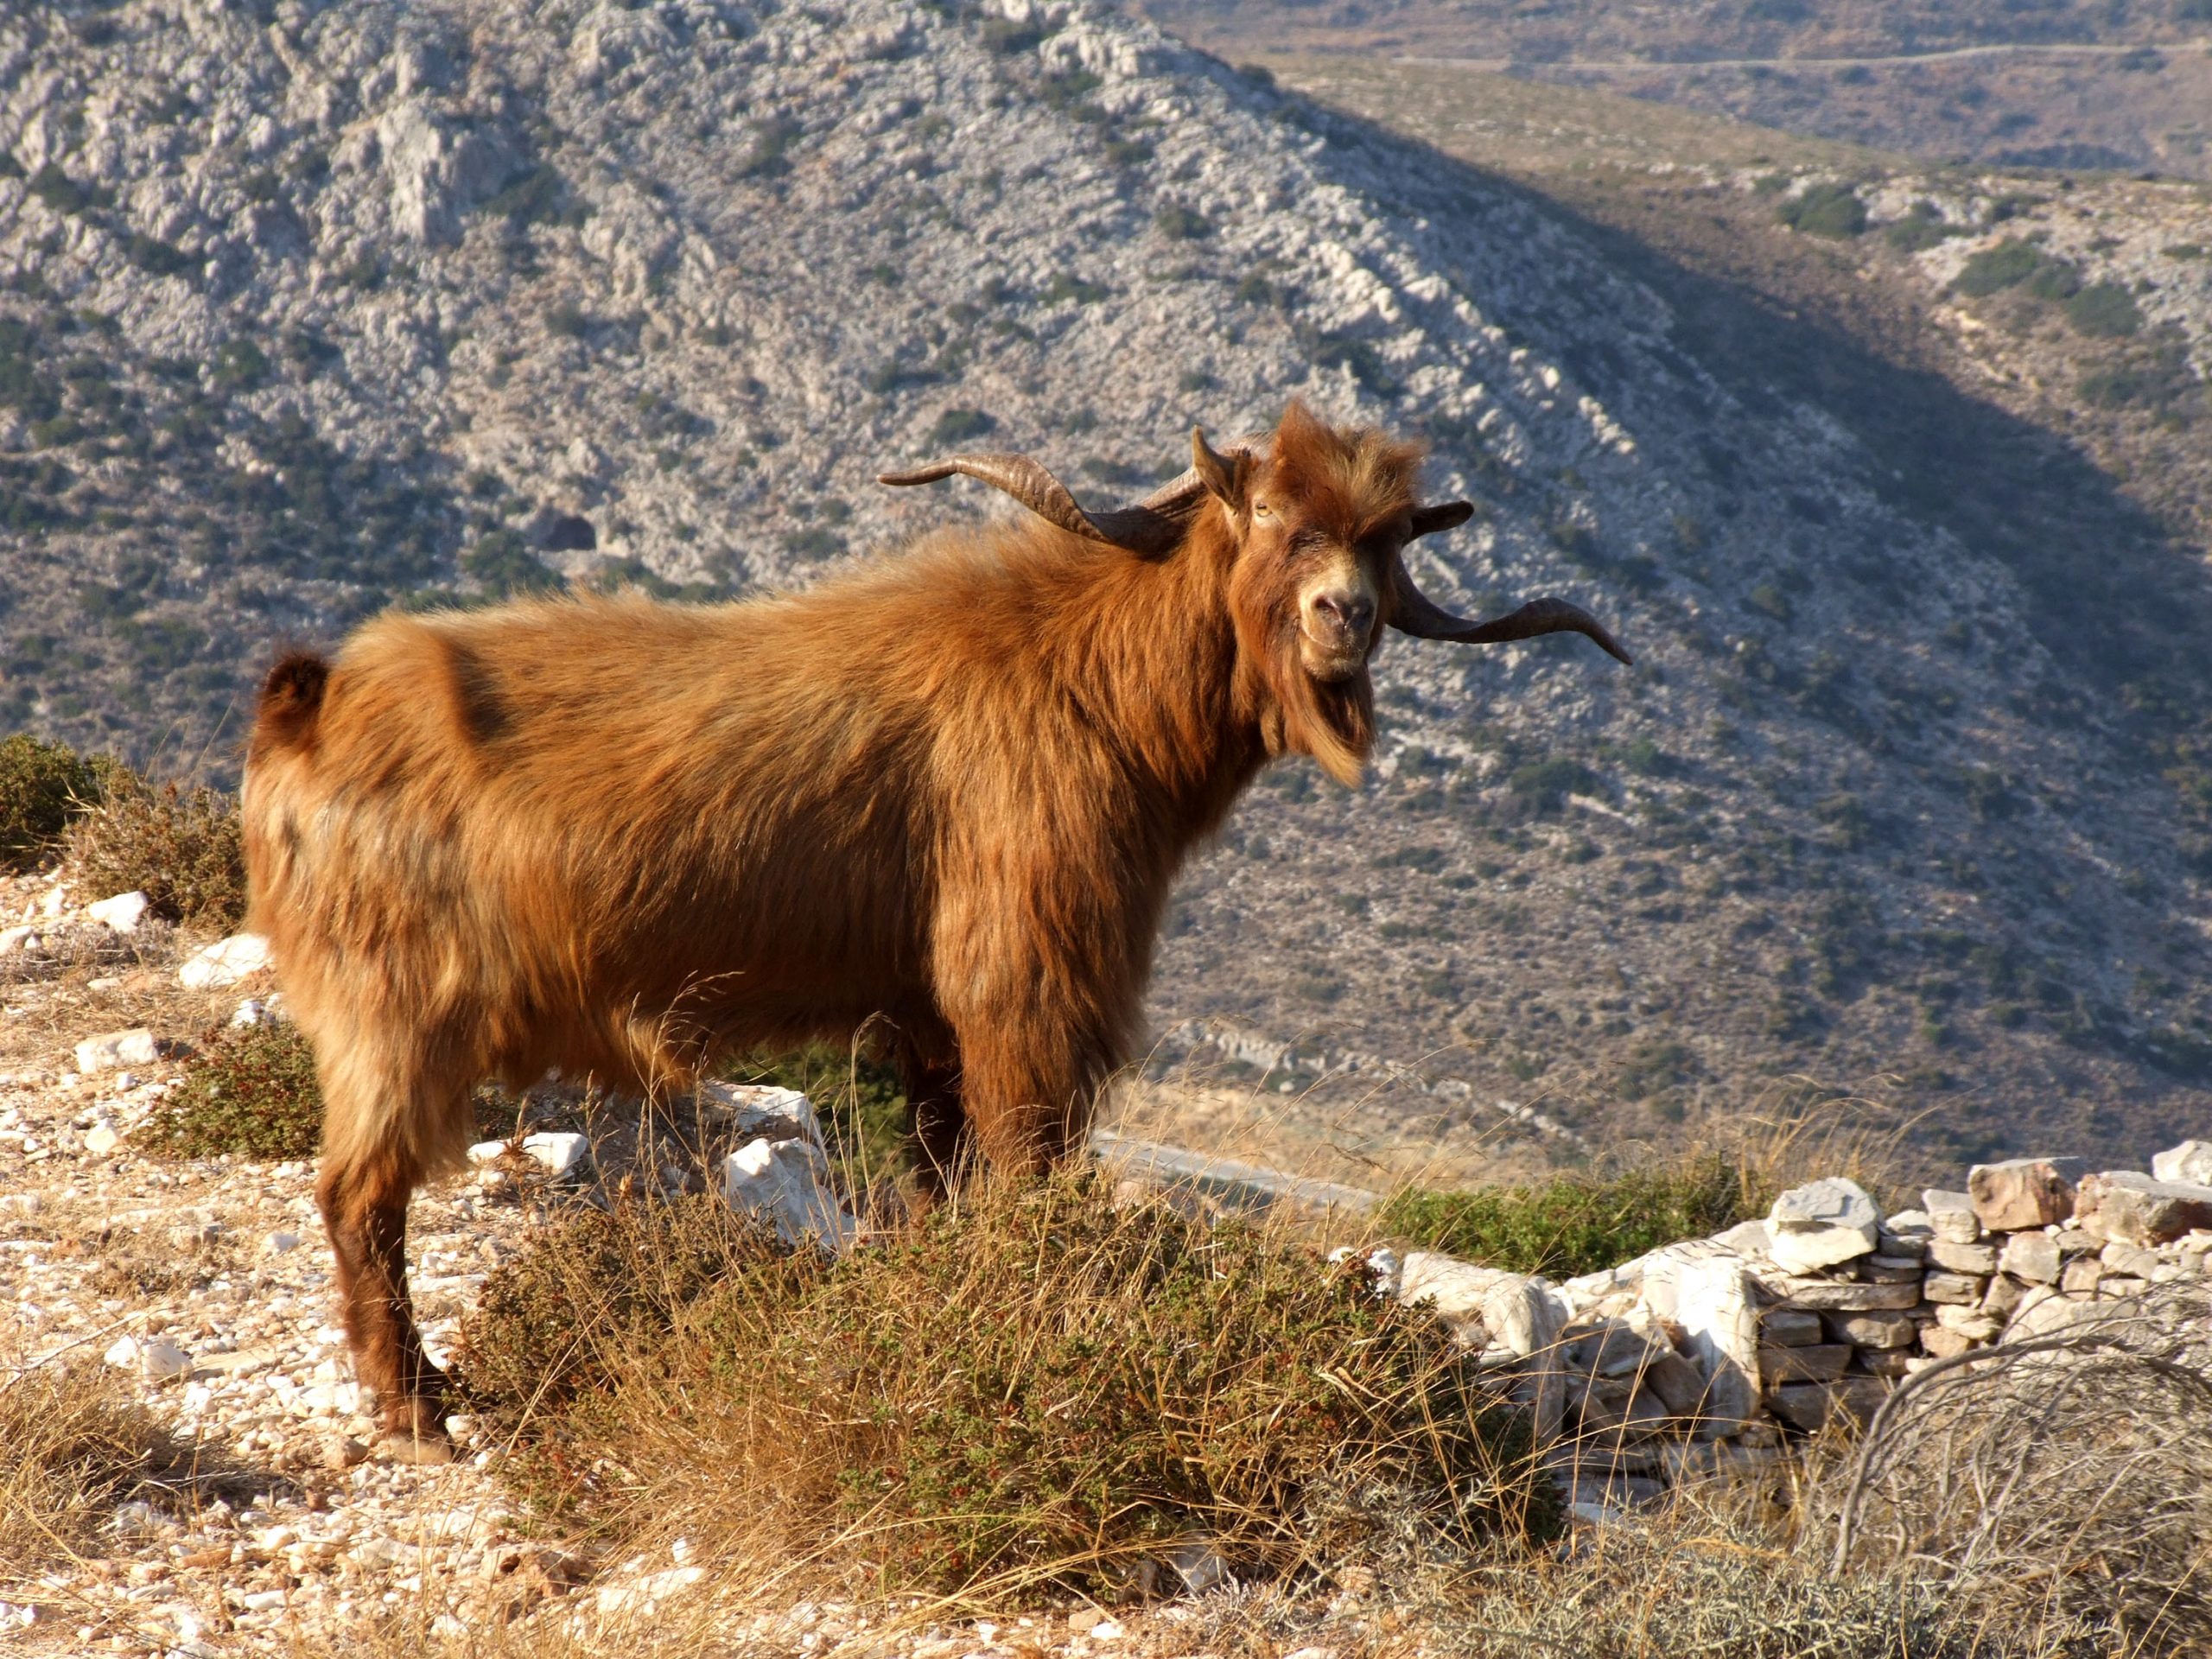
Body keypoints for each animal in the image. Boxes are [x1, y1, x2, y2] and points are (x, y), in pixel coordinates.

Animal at [246, 400, 1628, 1451]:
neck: (1081, 677)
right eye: (1283, 526)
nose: (1348, 617)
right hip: (396, 1013)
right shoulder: (1024, 989)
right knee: (357, 1196)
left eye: (1387, 542)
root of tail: (315, 705)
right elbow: (1022, 1169)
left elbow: (940, 1175)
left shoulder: (926, 1027)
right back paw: (416, 1410)